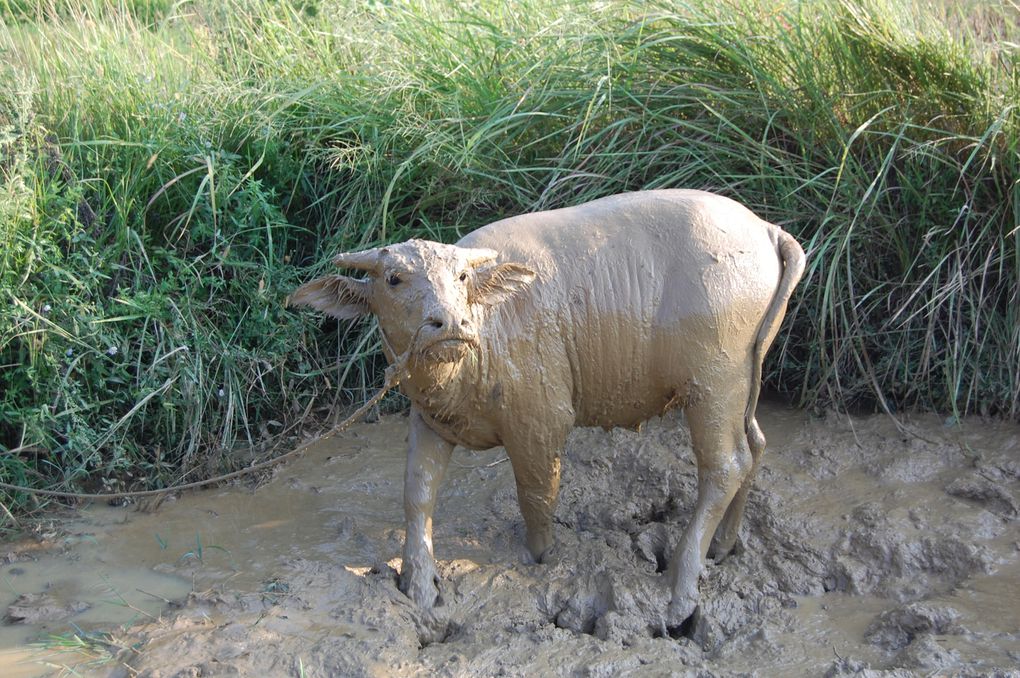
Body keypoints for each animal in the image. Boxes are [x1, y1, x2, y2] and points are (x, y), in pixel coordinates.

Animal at [289, 188, 803, 623]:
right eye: (394, 279)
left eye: (460, 276)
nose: (449, 323)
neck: (483, 337)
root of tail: (767, 230)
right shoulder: (430, 420)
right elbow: (417, 491)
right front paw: (419, 584)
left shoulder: (540, 424)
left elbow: (536, 495)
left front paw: (540, 559)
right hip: (745, 377)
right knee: (754, 446)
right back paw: (724, 546)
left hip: (714, 382)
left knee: (725, 465)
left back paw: (681, 588)